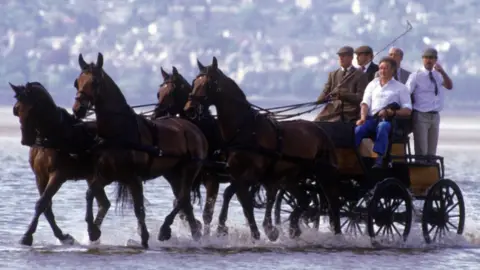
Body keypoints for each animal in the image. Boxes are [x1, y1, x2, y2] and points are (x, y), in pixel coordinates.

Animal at [9, 81, 110, 247]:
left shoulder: (58, 175)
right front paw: (63, 236)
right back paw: (94, 232)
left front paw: (27, 236)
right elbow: (47, 207)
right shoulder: (40, 177)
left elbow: (42, 203)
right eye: (16, 110)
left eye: (32, 109)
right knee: (104, 203)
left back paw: (93, 231)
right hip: (92, 176)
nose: (26, 140)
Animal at [72, 51, 207, 248]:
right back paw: (195, 233)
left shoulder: (133, 178)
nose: (78, 110)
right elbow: (90, 193)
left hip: (190, 168)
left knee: (182, 198)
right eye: (77, 82)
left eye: (95, 82)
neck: (119, 131)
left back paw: (165, 230)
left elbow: (139, 209)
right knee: (185, 203)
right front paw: (93, 230)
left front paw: (144, 237)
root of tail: (194, 128)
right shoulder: (107, 174)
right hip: (173, 174)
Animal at [186, 57, 344, 240]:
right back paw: (294, 228)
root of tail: (320, 130)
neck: (244, 129)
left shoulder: (252, 176)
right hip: (291, 177)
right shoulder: (238, 175)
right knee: (304, 199)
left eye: (208, 83)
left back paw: (337, 235)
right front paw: (256, 231)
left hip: (324, 174)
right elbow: (242, 202)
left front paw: (259, 230)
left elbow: (244, 199)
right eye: (194, 82)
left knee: (333, 203)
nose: (189, 108)